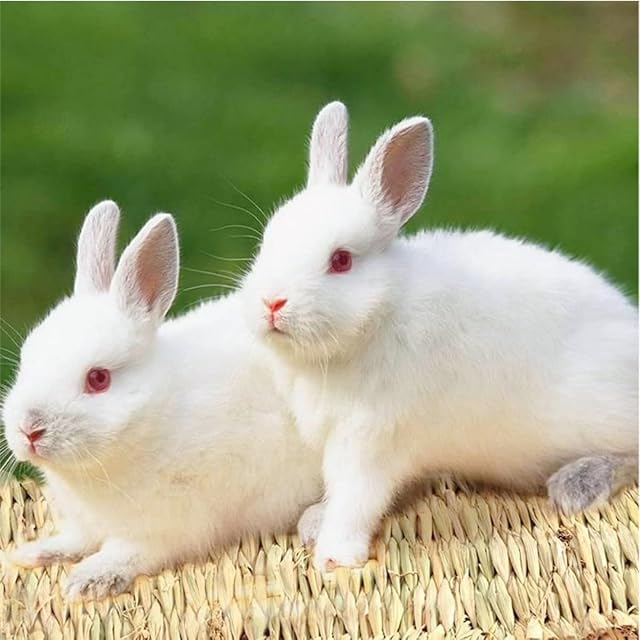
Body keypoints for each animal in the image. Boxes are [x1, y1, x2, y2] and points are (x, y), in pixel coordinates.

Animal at [2, 201, 322, 599]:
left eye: (98, 378)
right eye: (27, 358)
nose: (29, 429)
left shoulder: (170, 524)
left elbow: (129, 551)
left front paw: (88, 580)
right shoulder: (86, 522)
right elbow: (77, 539)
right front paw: (35, 552)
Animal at [240, 101, 639, 572]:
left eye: (340, 261)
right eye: (266, 244)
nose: (271, 303)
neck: (378, 317)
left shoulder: (370, 439)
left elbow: (356, 498)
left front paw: (335, 555)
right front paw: (313, 521)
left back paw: (577, 483)